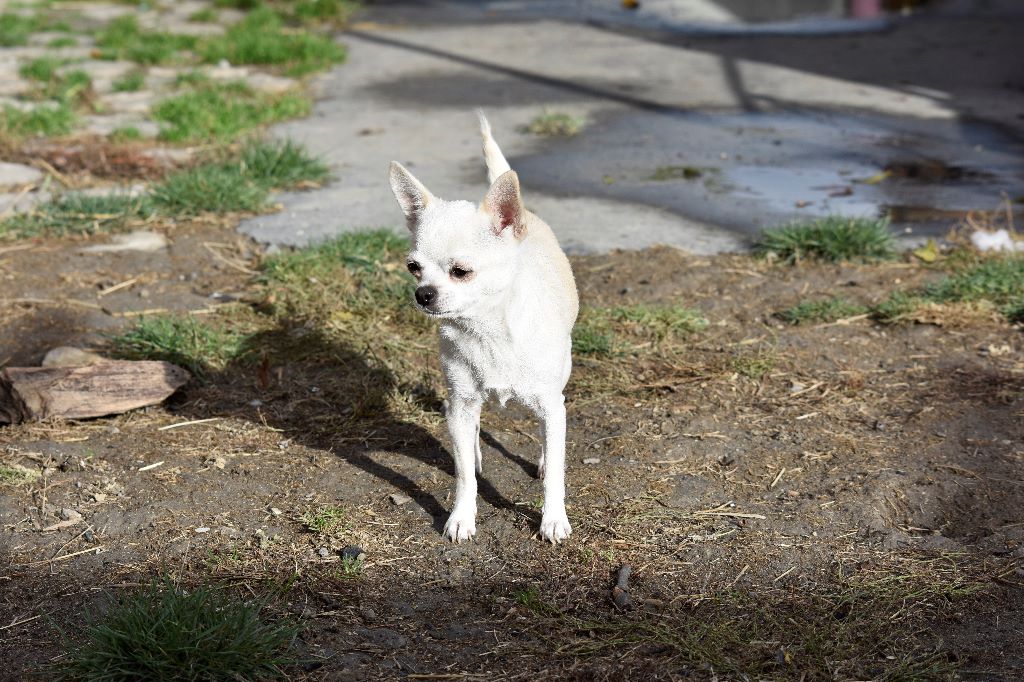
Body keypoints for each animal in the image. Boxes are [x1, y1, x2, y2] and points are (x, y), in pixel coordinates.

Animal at [389, 111, 581, 540]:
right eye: (413, 267)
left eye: (461, 272)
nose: (423, 294)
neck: (487, 331)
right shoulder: (460, 402)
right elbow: (463, 475)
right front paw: (461, 516)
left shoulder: (550, 403)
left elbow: (556, 474)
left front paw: (553, 519)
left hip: (560, 377)